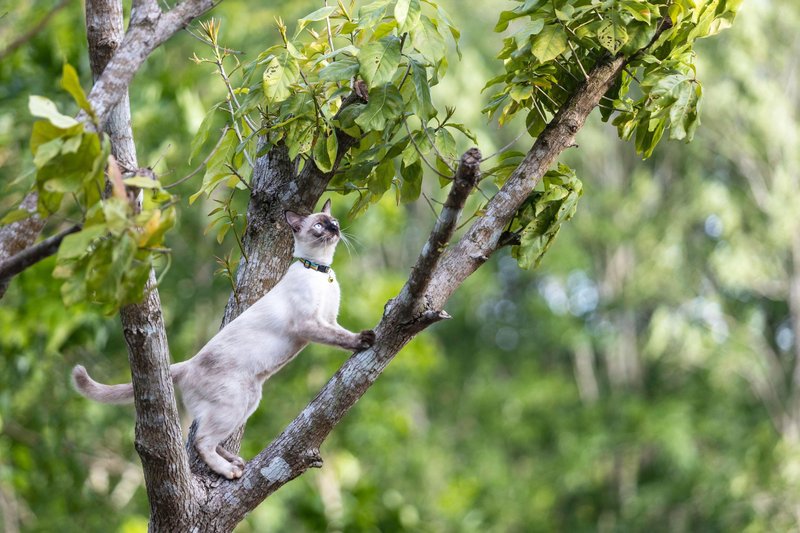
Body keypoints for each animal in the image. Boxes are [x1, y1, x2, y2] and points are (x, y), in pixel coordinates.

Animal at [73, 198, 376, 478]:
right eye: (319, 226)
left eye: (333, 221)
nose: (334, 229)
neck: (320, 269)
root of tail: (189, 363)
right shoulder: (310, 325)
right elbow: (340, 337)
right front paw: (365, 340)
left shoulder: (329, 319)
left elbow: (340, 333)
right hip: (235, 403)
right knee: (201, 441)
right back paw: (229, 471)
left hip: (250, 400)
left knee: (207, 438)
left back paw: (235, 461)